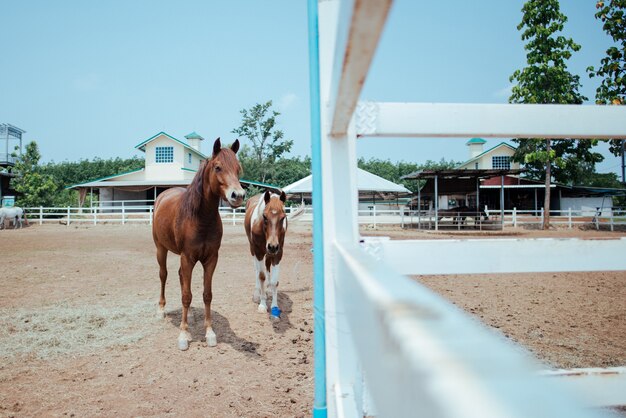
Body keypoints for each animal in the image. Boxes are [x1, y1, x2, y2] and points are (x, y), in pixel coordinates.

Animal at [152, 137, 245, 350]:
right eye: (218, 167)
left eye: (238, 169)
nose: (238, 196)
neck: (200, 219)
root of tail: (163, 195)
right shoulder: (188, 257)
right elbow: (186, 296)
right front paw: (183, 335)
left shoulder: (211, 259)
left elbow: (206, 294)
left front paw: (209, 332)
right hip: (161, 248)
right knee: (163, 275)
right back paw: (161, 310)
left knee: (180, 278)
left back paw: (191, 317)